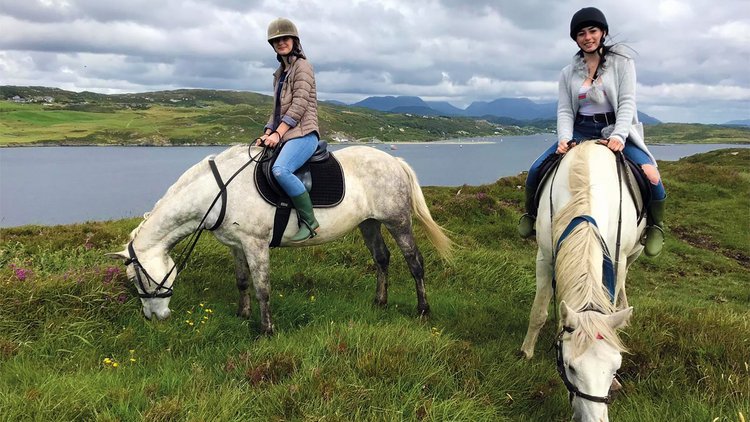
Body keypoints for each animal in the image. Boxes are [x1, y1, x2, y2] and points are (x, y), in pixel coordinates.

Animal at [108, 143, 452, 334]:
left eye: (138, 279)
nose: (154, 318)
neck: (219, 192)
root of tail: (395, 162)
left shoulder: (256, 243)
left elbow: (263, 289)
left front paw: (266, 330)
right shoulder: (236, 246)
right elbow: (242, 282)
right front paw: (242, 314)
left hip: (398, 221)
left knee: (415, 262)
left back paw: (423, 309)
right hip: (369, 224)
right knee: (382, 258)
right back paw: (380, 302)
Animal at [520, 143, 644, 422]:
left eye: (615, 367)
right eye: (570, 367)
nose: (594, 419)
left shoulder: (617, 260)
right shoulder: (545, 257)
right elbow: (538, 312)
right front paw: (526, 352)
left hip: (633, 254)